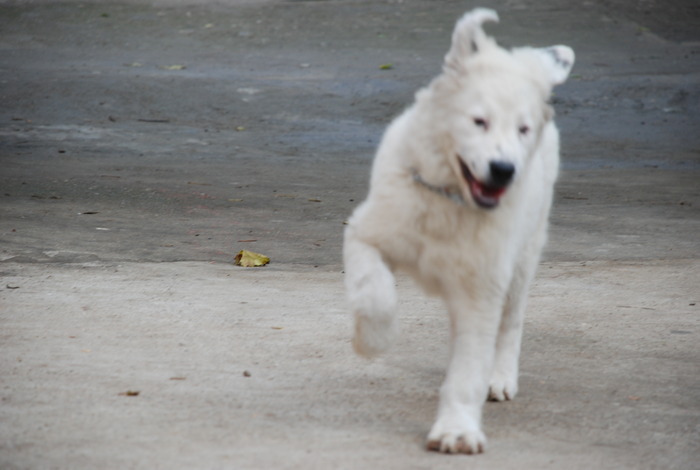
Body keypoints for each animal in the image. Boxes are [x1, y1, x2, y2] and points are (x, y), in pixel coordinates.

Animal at [342, 8, 572, 456]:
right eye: (479, 121)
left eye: (523, 129)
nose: (504, 170)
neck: (450, 199)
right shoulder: (366, 232)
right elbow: (375, 292)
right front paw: (372, 340)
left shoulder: (482, 287)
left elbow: (469, 367)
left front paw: (457, 429)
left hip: (524, 254)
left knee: (511, 321)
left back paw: (500, 378)